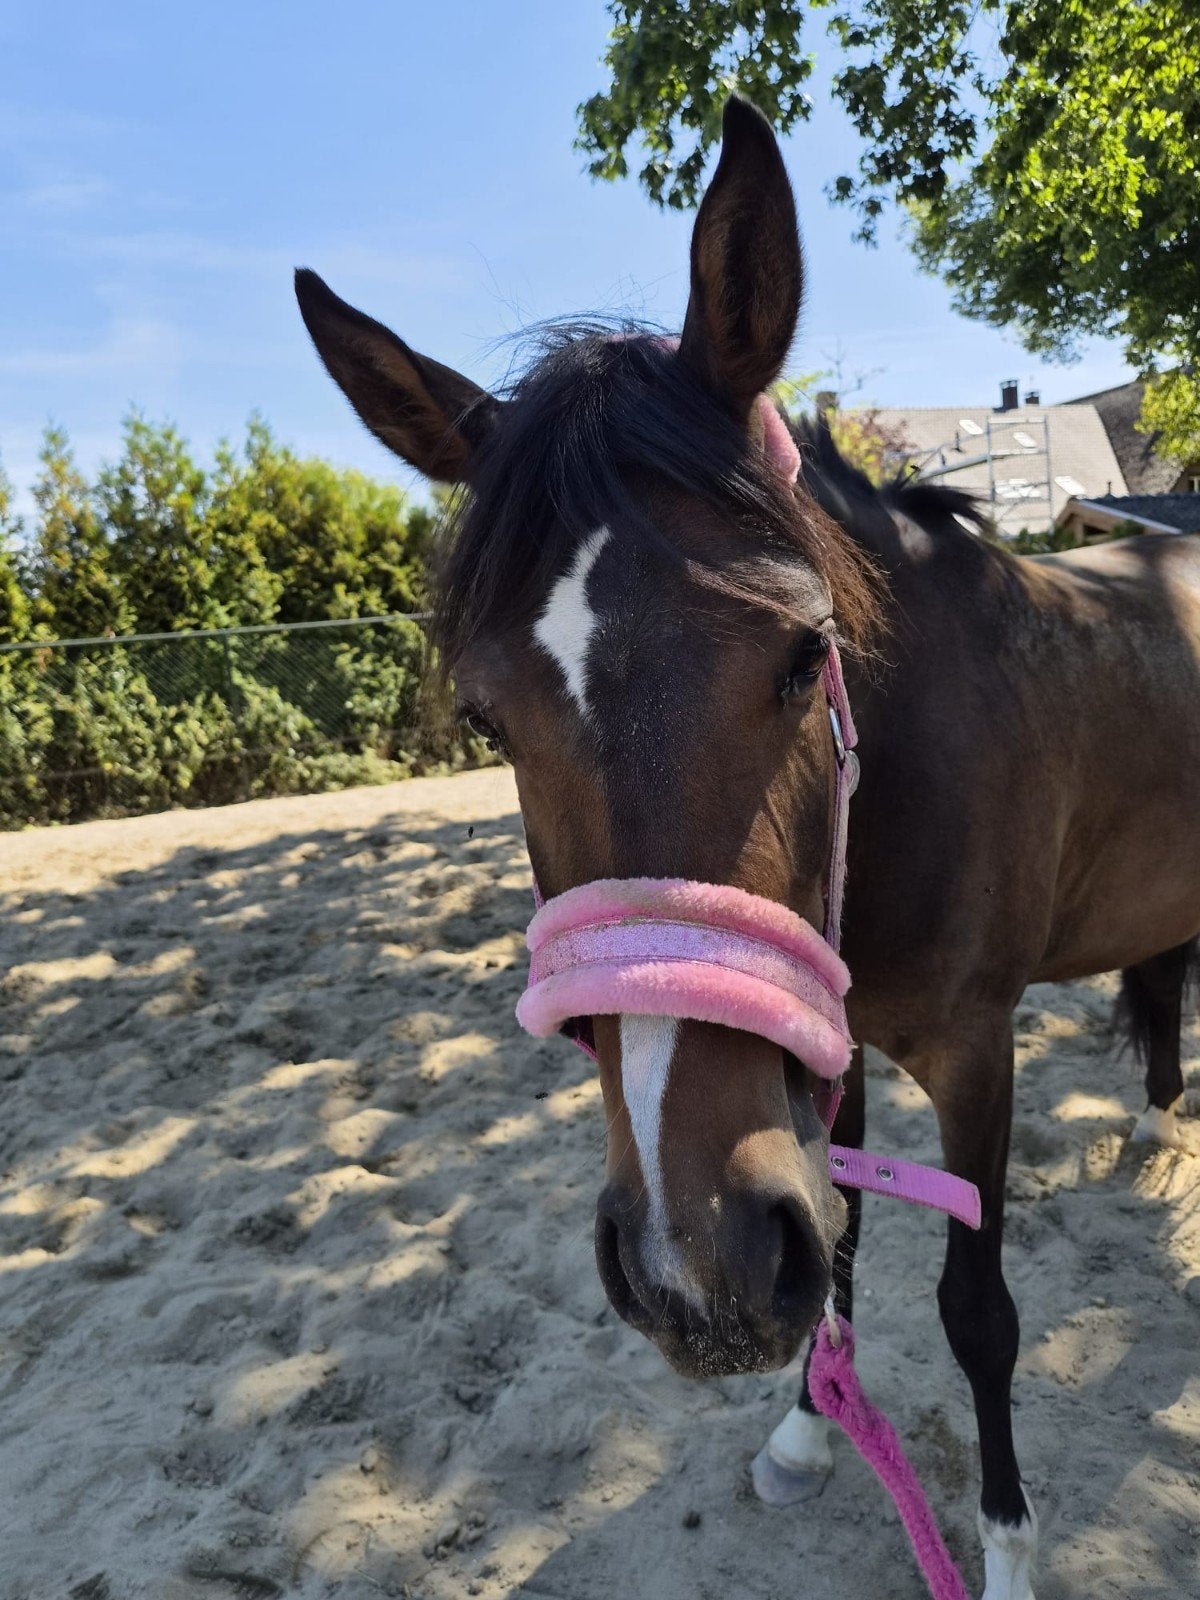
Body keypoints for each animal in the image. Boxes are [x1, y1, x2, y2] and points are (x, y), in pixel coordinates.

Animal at [294, 96, 1200, 1600]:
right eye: (486, 714)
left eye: (803, 653)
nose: (695, 1274)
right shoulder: (827, 1041)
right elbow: (840, 1241)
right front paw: (806, 1431)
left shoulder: (977, 1051)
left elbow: (976, 1308)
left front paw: (1007, 1547)